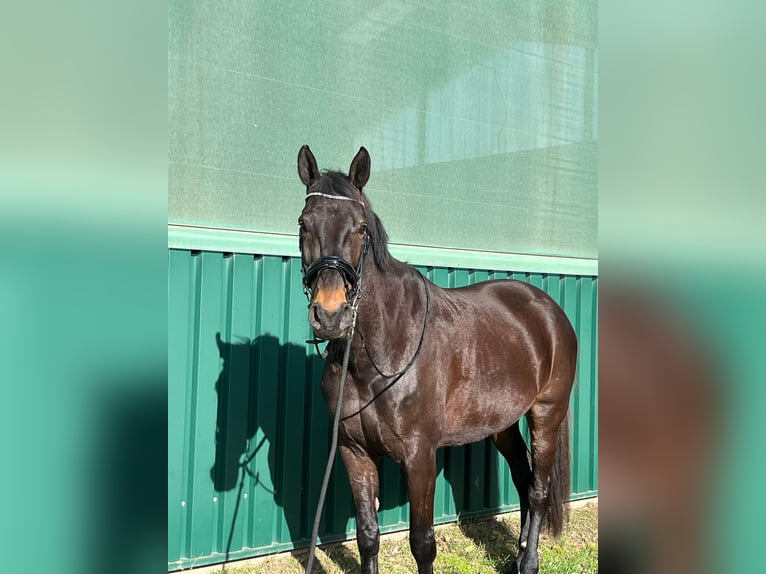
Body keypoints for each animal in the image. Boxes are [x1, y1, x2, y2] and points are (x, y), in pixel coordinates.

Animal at [296, 146, 580, 572]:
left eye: (361, 229)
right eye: (304, 225)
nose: (330, 315)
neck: (380, 353)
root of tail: (549, 309)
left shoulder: (420, 457)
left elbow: (422, 543)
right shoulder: (353, 452)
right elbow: (367, 537)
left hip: (547, 414)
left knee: (538, 490)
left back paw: (529, 562)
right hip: (502, 424)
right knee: (523, 477)